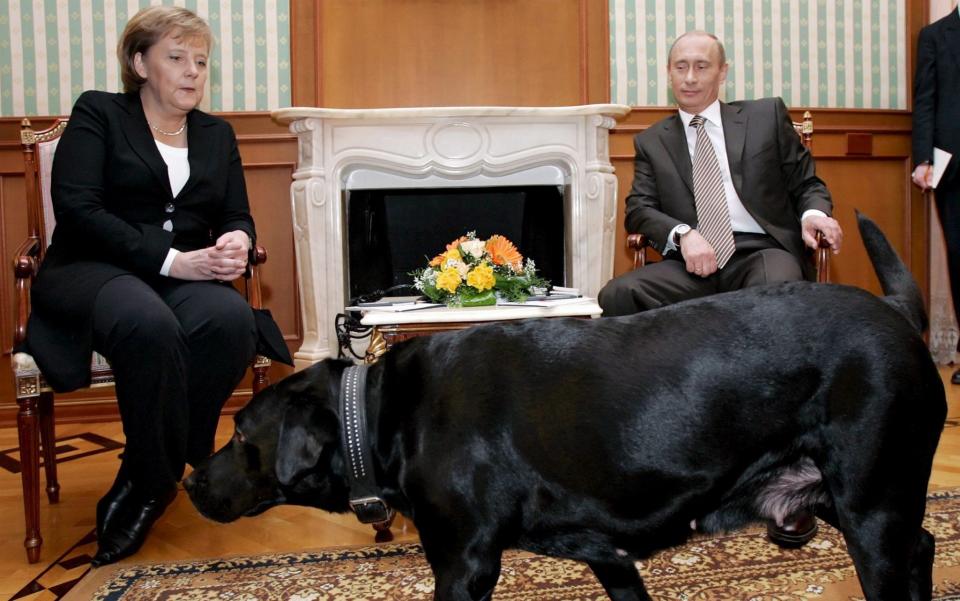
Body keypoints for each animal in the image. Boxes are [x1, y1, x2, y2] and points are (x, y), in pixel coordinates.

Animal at [186, 213, 944, 596]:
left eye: (241, 435)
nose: (191, 480)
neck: (381, 413)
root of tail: (900, 316)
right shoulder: (607, 555)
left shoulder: (464, 563)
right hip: (856, 501)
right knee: (925, 543)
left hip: (871, 506)